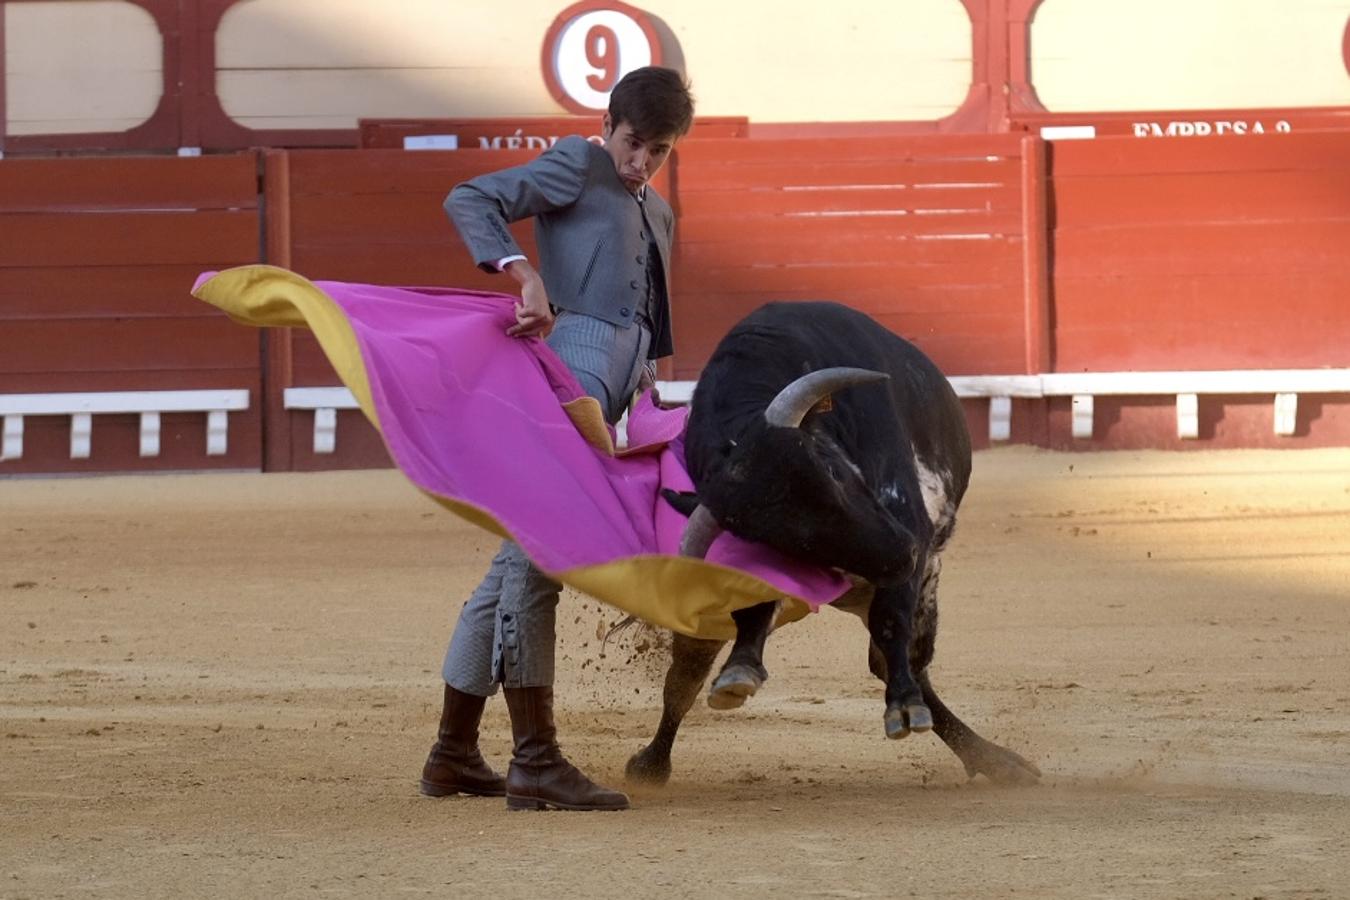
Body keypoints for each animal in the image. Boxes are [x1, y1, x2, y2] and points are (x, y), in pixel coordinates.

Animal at [626, 300, 1036, 782]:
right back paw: (652, 764)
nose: (902, 556)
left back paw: (983, 752)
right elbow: (751, 612)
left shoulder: (907, 517)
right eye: (787, 542)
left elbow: (892, 622)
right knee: (685, 677)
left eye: (833, 469)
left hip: (921, 582)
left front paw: (902, 708)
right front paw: (739, 672)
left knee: (899, 657)